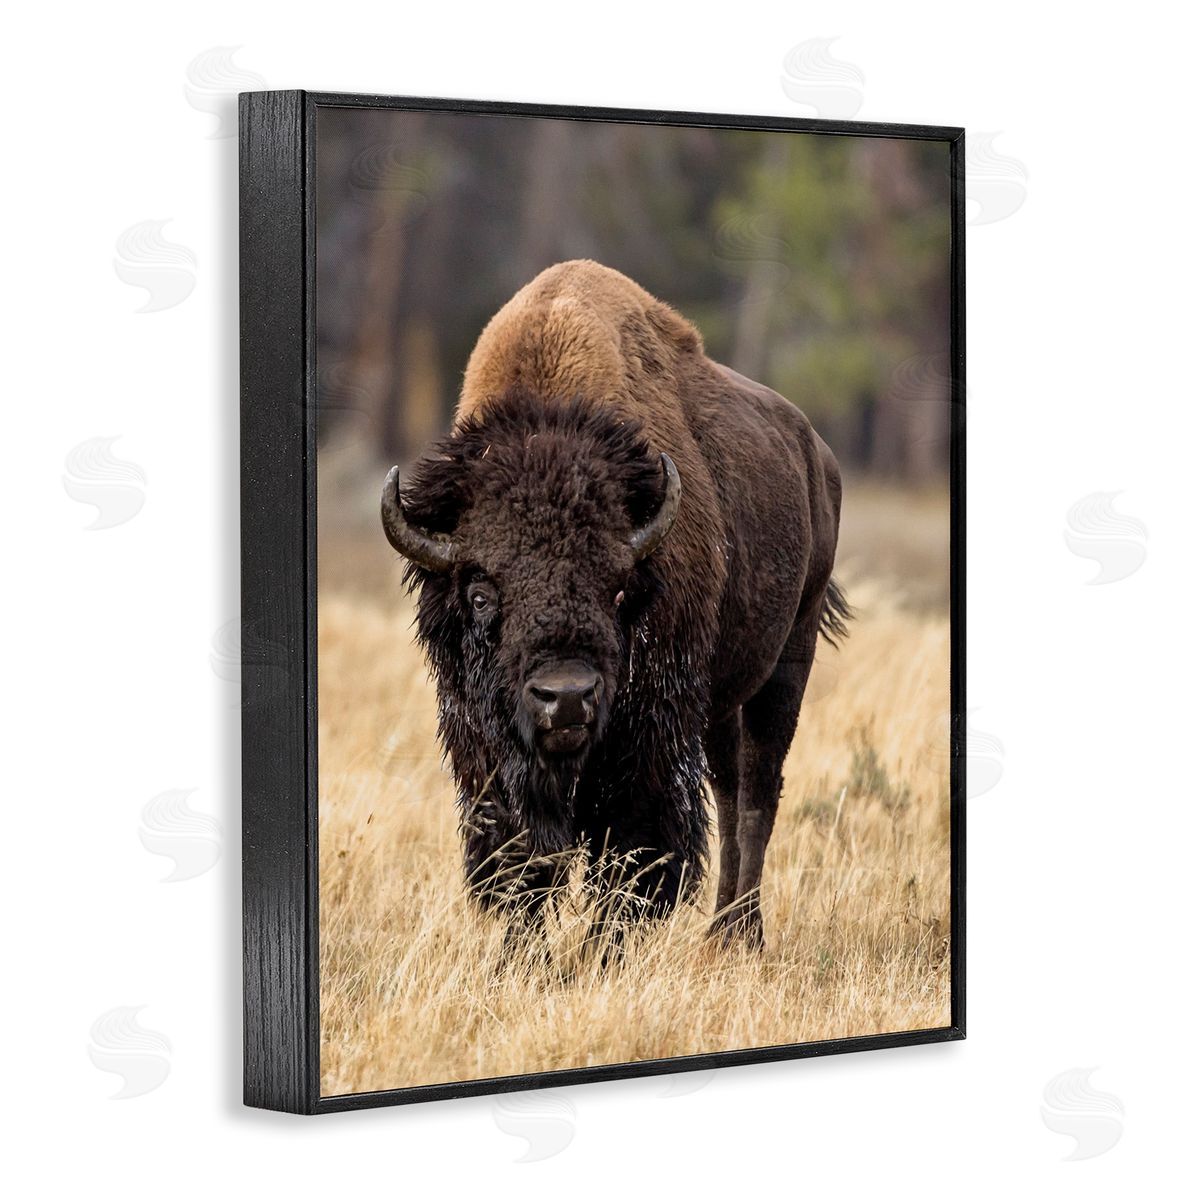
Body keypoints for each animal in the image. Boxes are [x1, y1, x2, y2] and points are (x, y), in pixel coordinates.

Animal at [381, 260, 847, 949]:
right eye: (481, 591)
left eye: (619, 586)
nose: (567, 697)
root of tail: (818, 453)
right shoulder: (487, 751)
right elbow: (522, 860)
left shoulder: (649, 739)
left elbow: (633, 855)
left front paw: (600, 954)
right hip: (721, 700)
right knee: (730, 790)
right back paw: (719, 932)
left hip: (789, 659)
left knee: (758, 794)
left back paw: (742, 935)